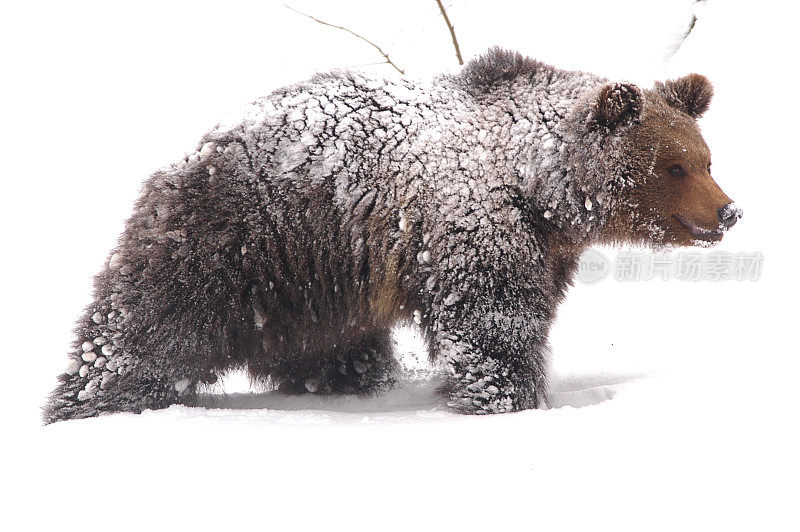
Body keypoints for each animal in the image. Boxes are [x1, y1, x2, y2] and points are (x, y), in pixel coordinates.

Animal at [43, 50, 740, 424]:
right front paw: (505, 398)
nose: (728, 211)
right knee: (145, 323)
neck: (538, 185)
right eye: (673, 166)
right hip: (240, 238)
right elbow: (494, 323)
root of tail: (189, 155)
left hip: (316, 282)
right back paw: (96, 399)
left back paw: (350, 381)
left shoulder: (545, 248)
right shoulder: (474, 226)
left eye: (705, 158)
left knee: (331, 344)